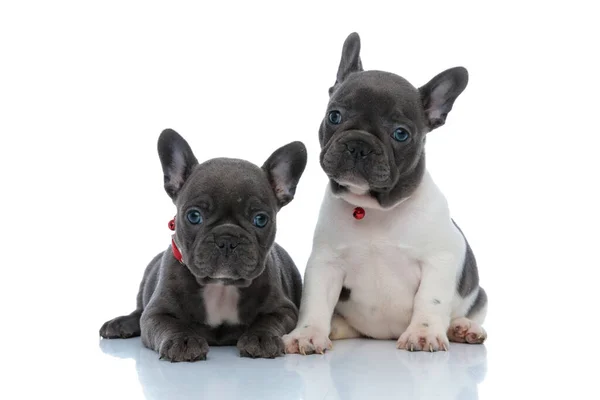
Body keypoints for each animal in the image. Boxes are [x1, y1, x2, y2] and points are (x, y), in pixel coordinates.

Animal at [101, 129, 308, 362]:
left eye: (260, 219)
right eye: (194, 216)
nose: (227, 240)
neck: (221, 286)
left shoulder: (284, 309)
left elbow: (269, 320)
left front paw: (261, 337)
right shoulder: (156, 313)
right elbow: (170, 324)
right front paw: (183, 341)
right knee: (137, 312)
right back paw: (120, 323)